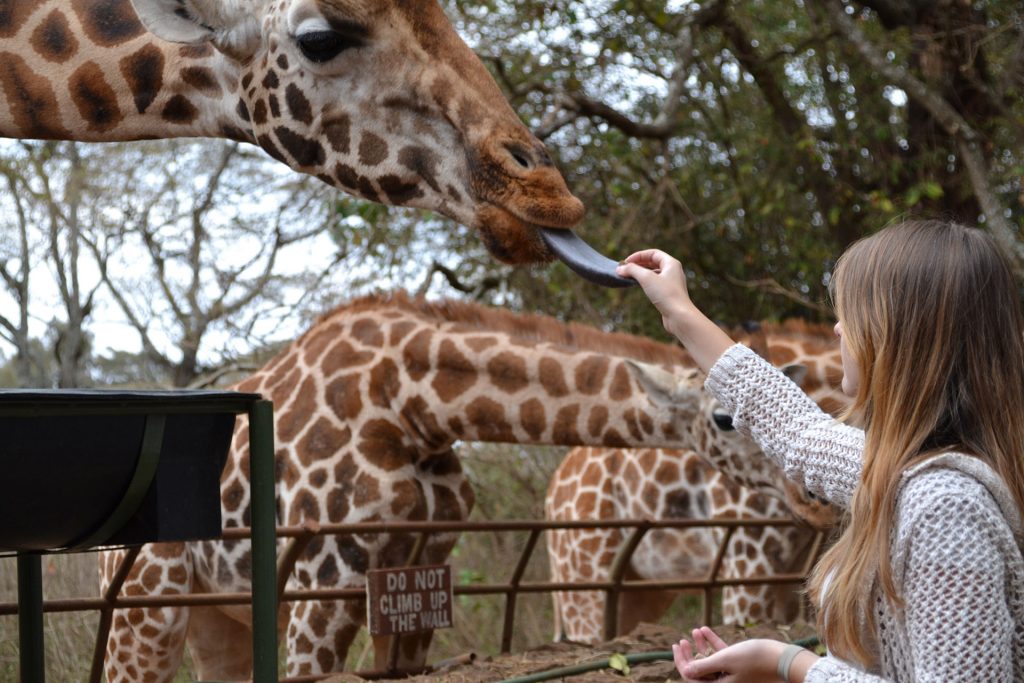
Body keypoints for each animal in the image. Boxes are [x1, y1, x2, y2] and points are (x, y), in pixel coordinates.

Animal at [544, 323, 847, 643]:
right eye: (726, 419)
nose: (819, 501)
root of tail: (552, 493)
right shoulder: (747, 560)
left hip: (639, 588)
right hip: (583, 573)